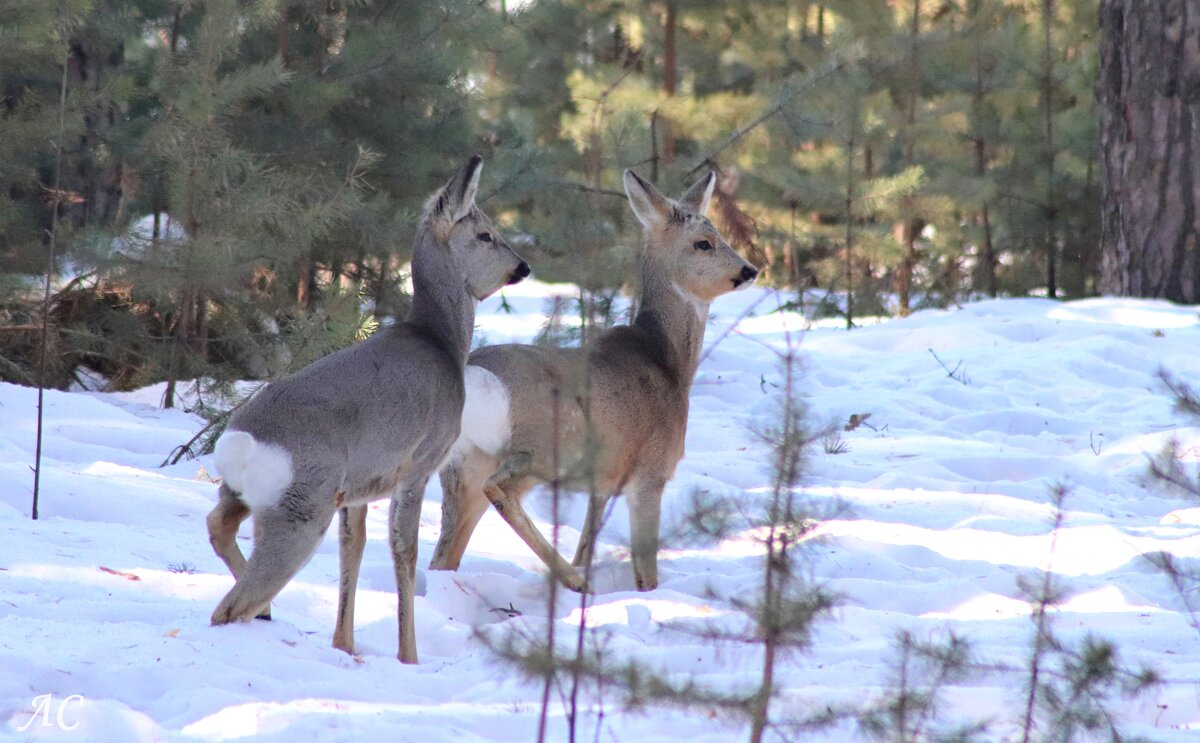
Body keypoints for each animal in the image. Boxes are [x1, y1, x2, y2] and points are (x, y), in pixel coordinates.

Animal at [208, 156, 528, 662]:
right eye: (485, 235)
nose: (523, 267)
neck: (440, 342)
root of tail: (240, 442)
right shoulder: (419, 462)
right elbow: (405, 552)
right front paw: (408, 655)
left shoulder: (357, 488)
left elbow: (352, 549)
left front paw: (345, 644)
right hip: (301, 504)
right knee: (231, 604)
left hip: (252, 493)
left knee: (217, 526)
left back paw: (269, 612)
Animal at [427, 168, 753, 592]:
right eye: (703, 243)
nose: (749, 270)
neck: (667, 362)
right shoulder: (650, 470)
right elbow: (646, 569)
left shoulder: (605, 482)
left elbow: (587, 543)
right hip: (550, 445)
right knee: (501, 489)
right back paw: (573, 580)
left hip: (464, 465)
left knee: (444, 552)